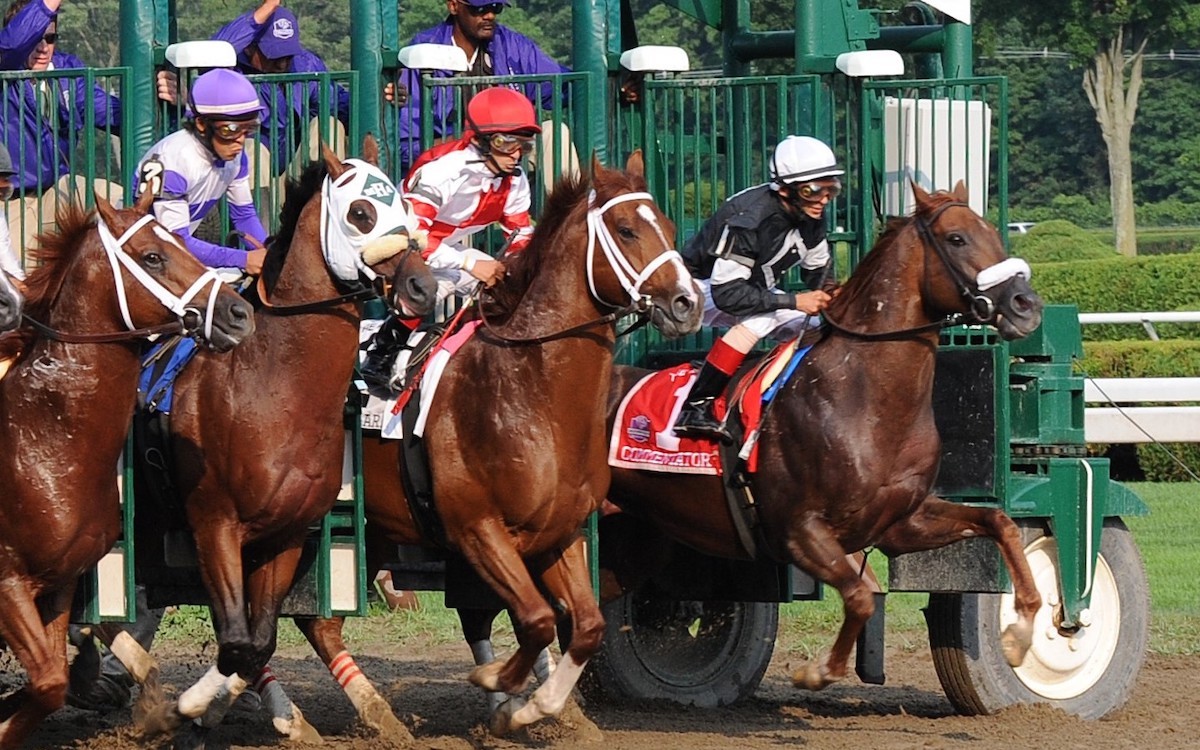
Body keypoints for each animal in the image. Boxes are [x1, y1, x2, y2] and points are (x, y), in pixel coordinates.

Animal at [0, 194, 250, 748]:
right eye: (153, 256)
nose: (239, 312)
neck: (44, 438)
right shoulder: (8, 582)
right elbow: (47, 682)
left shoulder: (58, 584)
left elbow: (50, 680)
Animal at [120, 139, 441, 739]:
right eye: (361, 213)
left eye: (409, 210)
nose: (423, 286)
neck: (272, 386)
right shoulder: (214, 523)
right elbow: (238, 641)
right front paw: (189, 708)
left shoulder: (287, 534)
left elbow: (256, 643)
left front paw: (212, 708)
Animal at [255, 152, 700, 744]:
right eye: (627, 230)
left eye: (669, 228)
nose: (688, 303)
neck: (527, 391)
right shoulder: (477, 529)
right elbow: (536, 619)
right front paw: (505, 693)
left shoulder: (560, 532)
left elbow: (586, 625)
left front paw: (542, 708)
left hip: (362, 530)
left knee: (317, 622)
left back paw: (374, 715)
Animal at [604, 180, 1046, 691]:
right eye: (956, 239)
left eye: (993, 233)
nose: (1026, 306)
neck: (865, 398)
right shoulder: (799, 530)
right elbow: (860, 596)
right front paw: (818, 670)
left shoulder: (901, 523)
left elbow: (1000, 522)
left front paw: (1021, 633)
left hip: (634, 540)